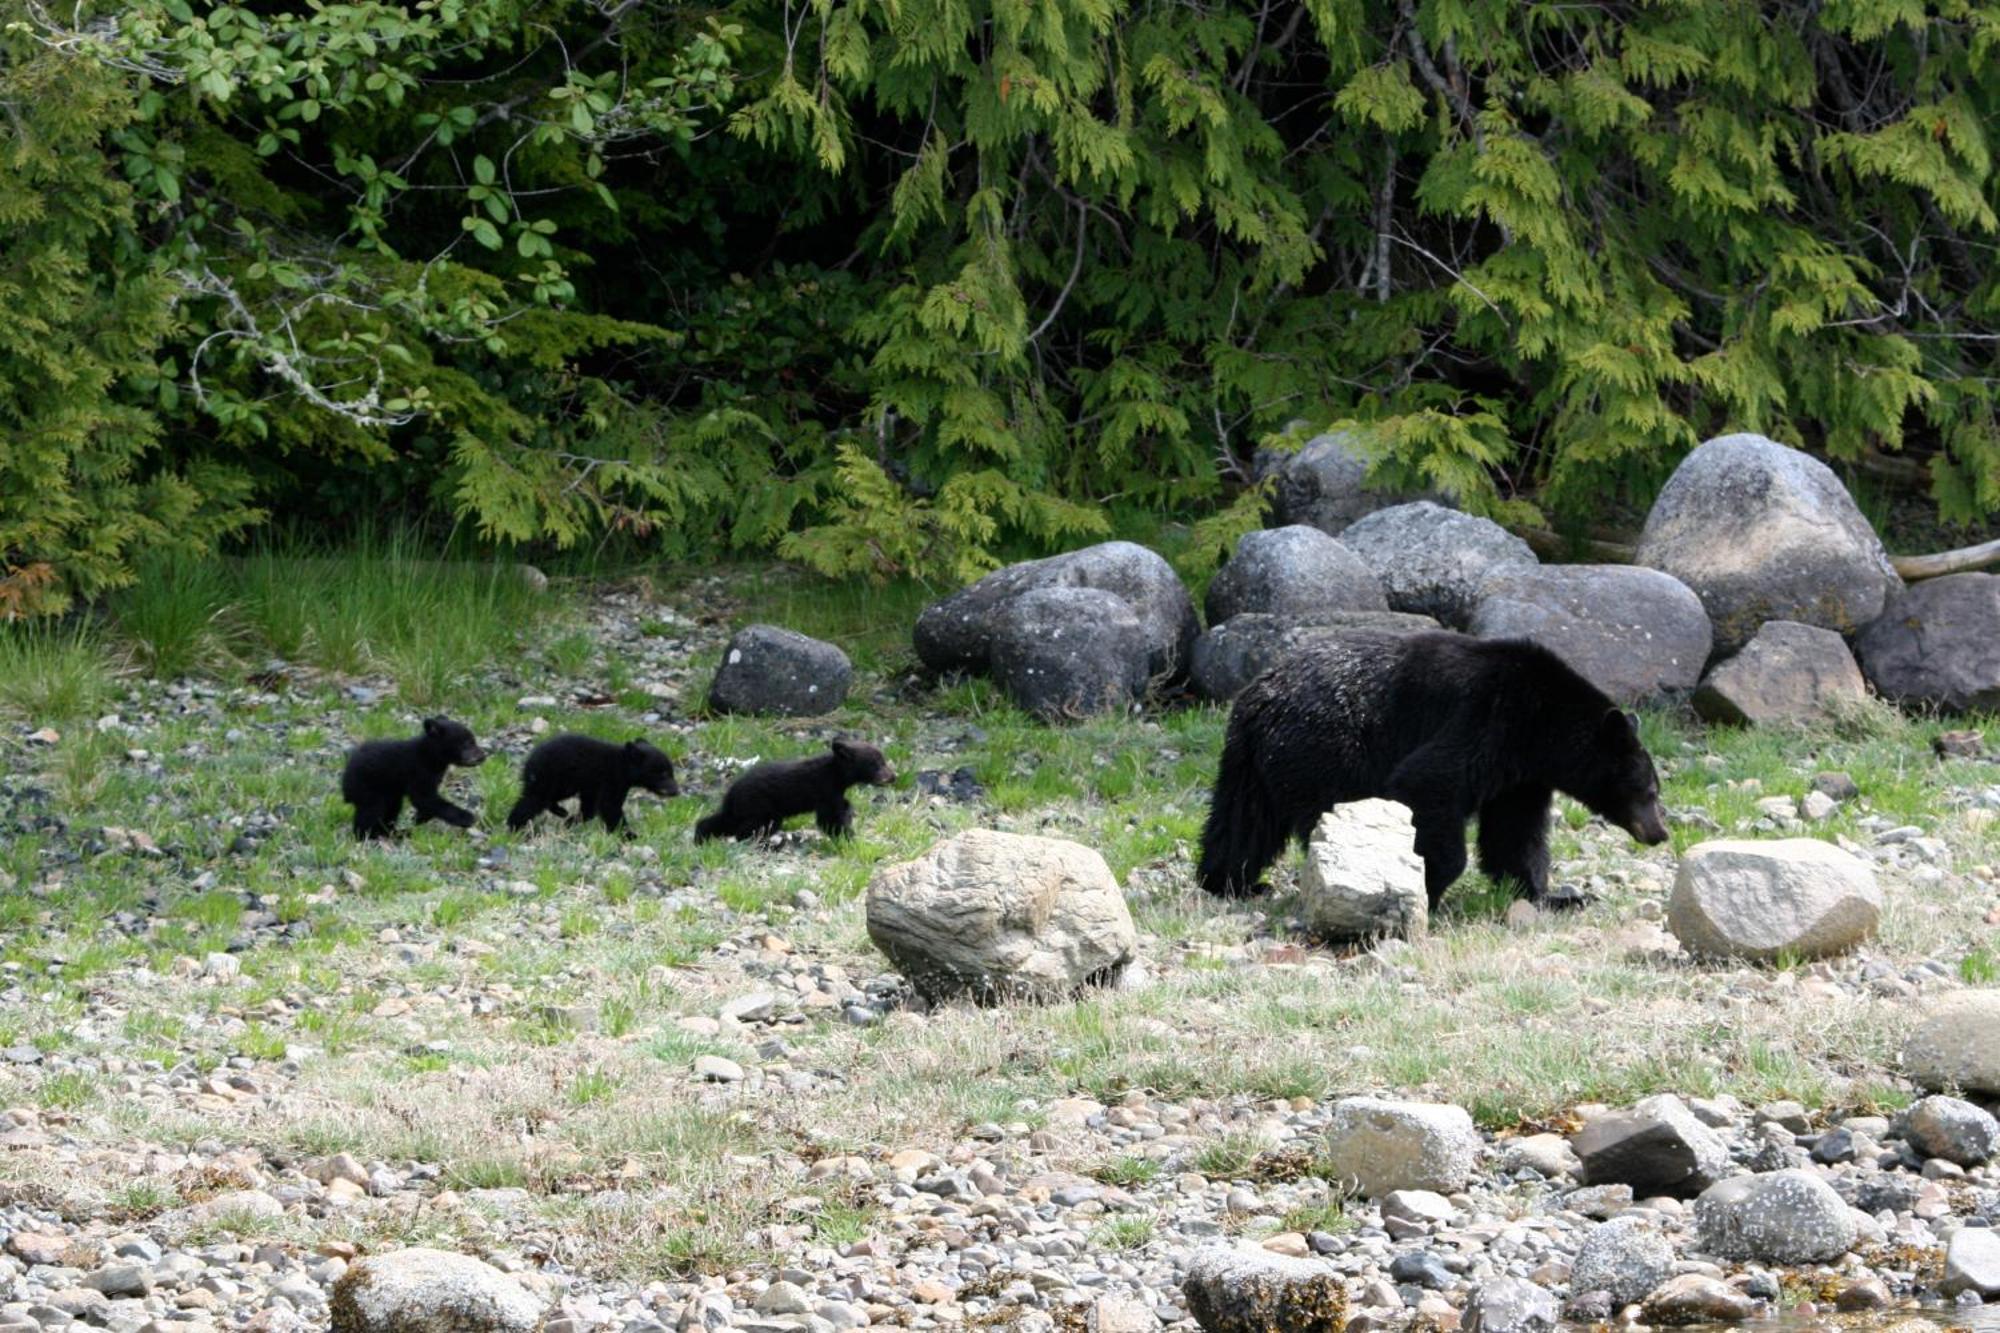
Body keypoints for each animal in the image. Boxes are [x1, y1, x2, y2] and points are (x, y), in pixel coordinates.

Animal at [340, 712, 488, 836]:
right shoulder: (418, 771)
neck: (430, 756)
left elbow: (427, 801)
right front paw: (466, 817)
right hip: (369, 787)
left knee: (391, 809)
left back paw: (392, 832)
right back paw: (370, 835)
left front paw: (419, 818)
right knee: (371, 811)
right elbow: (423, 798)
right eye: (467, 743)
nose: (483, 755)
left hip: (390, 793)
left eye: (472, 740)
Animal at [508, 732, 680, 836]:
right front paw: (628, 834)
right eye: (663, 773)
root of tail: (529, 761)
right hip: (549, 776)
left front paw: (572, 821)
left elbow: (590, 807)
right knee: (533, 800)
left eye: (671, 772)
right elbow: (610, 806)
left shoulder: (593, 785)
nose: (677, 791)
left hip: (563, 783)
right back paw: (514, 825)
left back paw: (561, 811)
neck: (623, 766)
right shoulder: (612, 779)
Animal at [696, 736, 900, 840]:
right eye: (876, 764)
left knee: (725, 820)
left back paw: (701, 836)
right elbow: (829, 817)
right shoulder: (824, 789)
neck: (836, 774)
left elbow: (842, 806)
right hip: (760, 805)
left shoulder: (834, 791)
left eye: (882, 760)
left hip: (746, 808)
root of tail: (732, 791)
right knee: (749, 826)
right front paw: (846, 835)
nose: (893, 777)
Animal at [1200, 632, 1672, 904]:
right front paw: (1428, 882)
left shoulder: (1522, 776)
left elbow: (1515, 832)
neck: (1543, 725)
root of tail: (1257, 696)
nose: (1660, 833)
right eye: (1648, 791)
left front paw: (1552, 895)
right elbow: (1429, 784)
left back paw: (1229, 882)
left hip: (1252, 763)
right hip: (1324, 748)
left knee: (1242, 822)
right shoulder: (1488, 718)